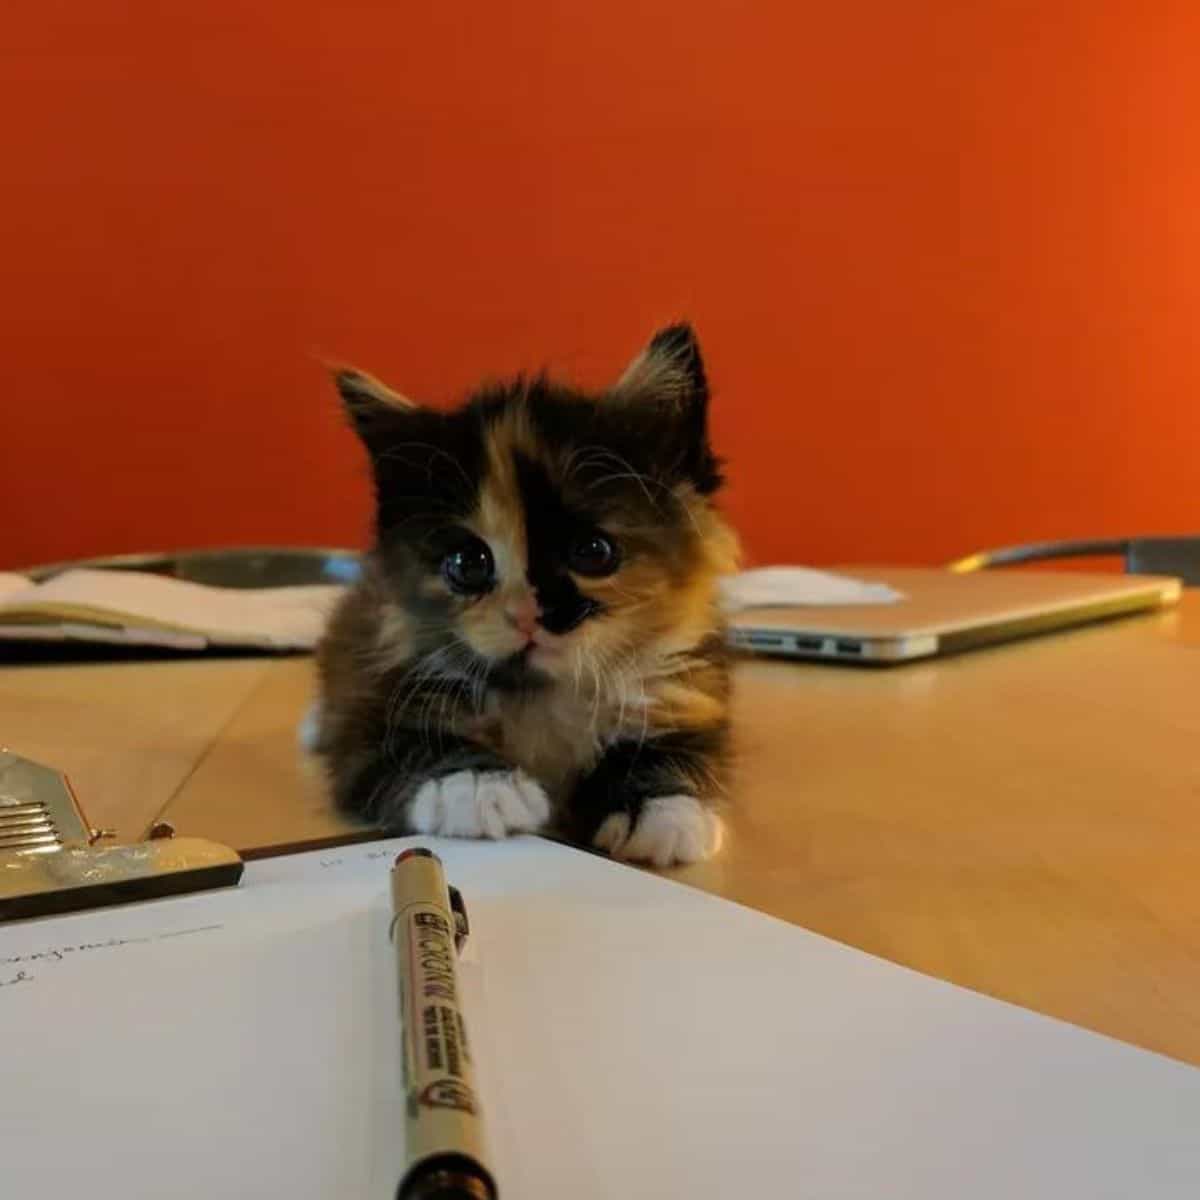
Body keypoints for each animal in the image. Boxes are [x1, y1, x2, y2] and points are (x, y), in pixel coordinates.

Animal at [314, 324, 734, 868]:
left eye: (593, 552)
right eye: (468, 564)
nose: (528, 614)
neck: (542, 696)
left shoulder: (693, 693)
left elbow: (677, 745)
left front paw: (665, 808)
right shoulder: (369, 704)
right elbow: (409, 741)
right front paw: (476, 784)